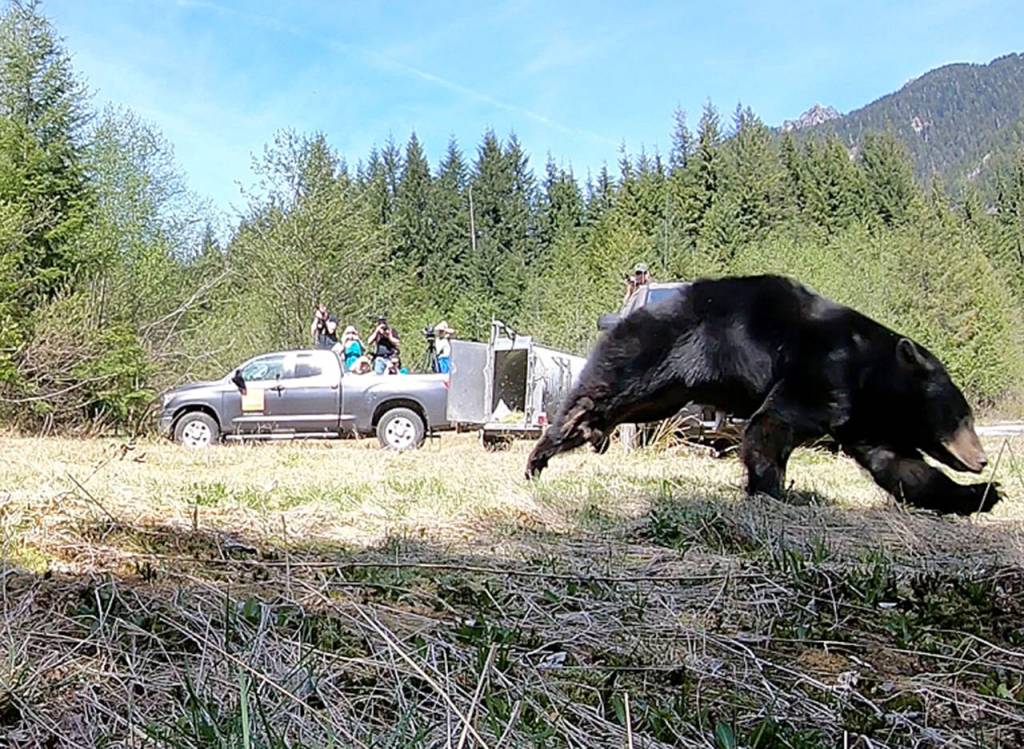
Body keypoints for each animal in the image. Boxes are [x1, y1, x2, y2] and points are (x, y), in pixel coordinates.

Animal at [526, 274, 1001, 516]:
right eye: (961, 415)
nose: (981, 459)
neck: (869, 375)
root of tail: (627, 313)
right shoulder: (821, 372)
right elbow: (773, 423)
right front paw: (770, 489)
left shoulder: (862, 419)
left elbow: (899, 465)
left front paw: (980, 495)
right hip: (653, 355)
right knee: (605, 390)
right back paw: (547, 448)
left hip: (667, 392)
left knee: (624, 407)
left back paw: (583, 435)